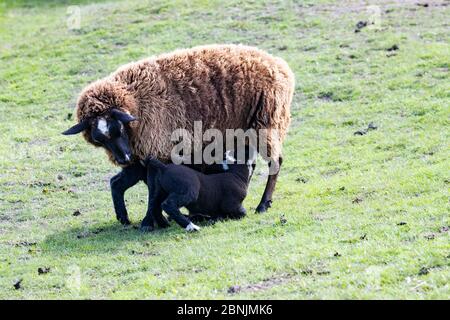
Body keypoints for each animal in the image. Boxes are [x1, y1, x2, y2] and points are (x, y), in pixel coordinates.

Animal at [63, 44, 296, 230]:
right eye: (99, 139)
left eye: (118, 128)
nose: (123, 158)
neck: (134, 100)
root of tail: (279, 65)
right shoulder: (148, 156)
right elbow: (152, 190)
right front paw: (156, 221)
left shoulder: (157, 152)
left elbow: (153, 193)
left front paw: (153, 221)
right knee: (117, 183)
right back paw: (125, 218)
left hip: (267, 123)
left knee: (275, 162)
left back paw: (263, 205)